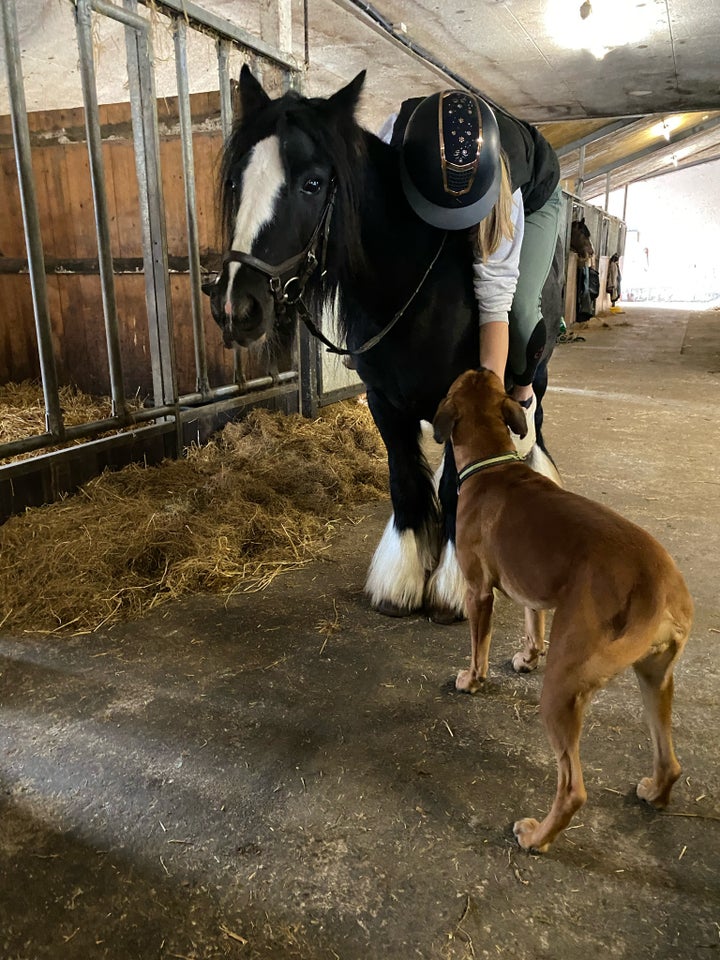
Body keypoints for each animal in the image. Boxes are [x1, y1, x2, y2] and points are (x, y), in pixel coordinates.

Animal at [201, 67, 564, 624]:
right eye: (238, 180)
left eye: (313, 183)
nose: (237, 308)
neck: (416, 288)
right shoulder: (383, 402)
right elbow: (406, 481)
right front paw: (404, 580)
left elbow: (452, 486)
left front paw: (451, 588)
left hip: (537, 363)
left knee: (535, 413)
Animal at [434, 370, 692, 856]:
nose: (482, 367)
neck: (493, 463)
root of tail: (656, 586)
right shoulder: (533, 594)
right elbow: (534, 625)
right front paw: (526, 657)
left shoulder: (479, 593)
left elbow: (479, 645)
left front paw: (472, 680)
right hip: (655, 679)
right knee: (670, 762)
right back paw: (654, 792)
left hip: (561, 690)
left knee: (573, 789)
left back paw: (537, 837)